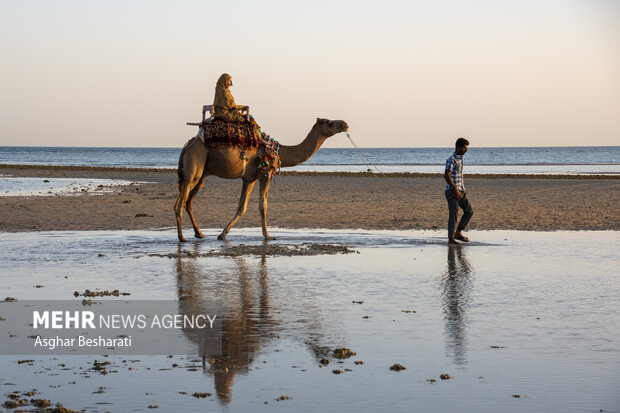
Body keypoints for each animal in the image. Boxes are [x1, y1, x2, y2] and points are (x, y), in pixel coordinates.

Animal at [174, 118, 348, 241]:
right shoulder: (265, 174)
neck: (279, 151)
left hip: (201, 174)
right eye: (330, 123)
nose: (345, 124)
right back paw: (182, 238)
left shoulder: (249, 178)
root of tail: (187, 145)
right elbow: (263, 206)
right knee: (181, 202)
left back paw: (199, 233)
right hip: (194, 167)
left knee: (187, 201)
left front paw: (222, 234)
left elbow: (242, 207)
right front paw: (268, 236)